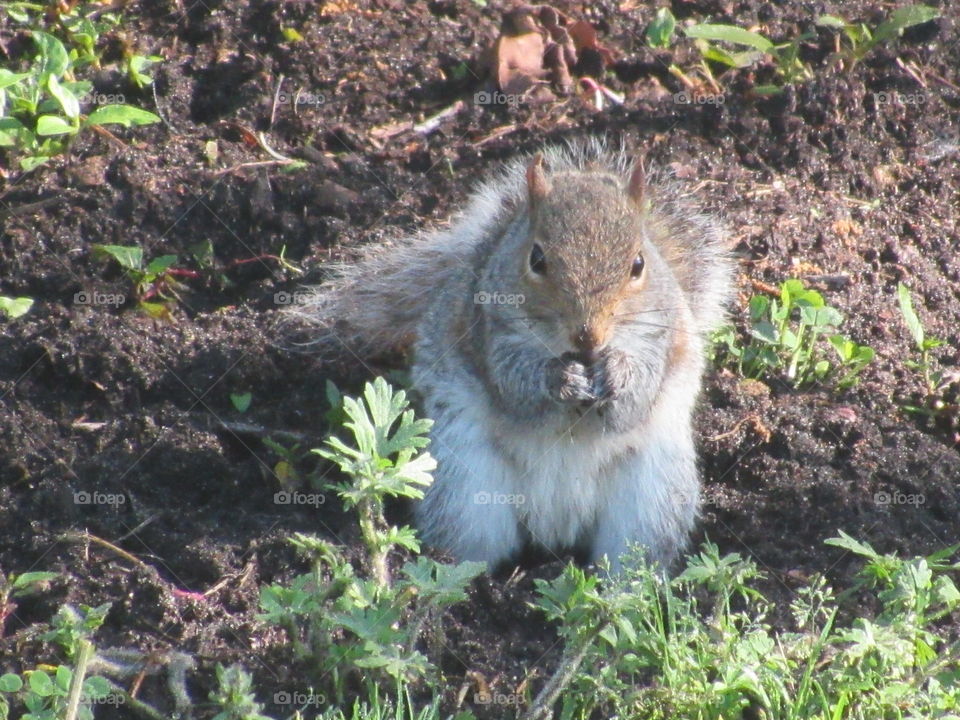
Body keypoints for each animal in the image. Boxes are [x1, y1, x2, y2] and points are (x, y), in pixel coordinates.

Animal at [294, 141, 734, 572]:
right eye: (536, 259)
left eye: (638, 264)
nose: (588, 336)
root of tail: (557, 525)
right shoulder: (490, 334)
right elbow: (517, 390)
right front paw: (560, 380)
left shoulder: (660, 338)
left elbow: (635, 402)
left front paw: (618, 374)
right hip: (465, 488)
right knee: (470, 549)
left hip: (652, 496)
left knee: (632, 559)